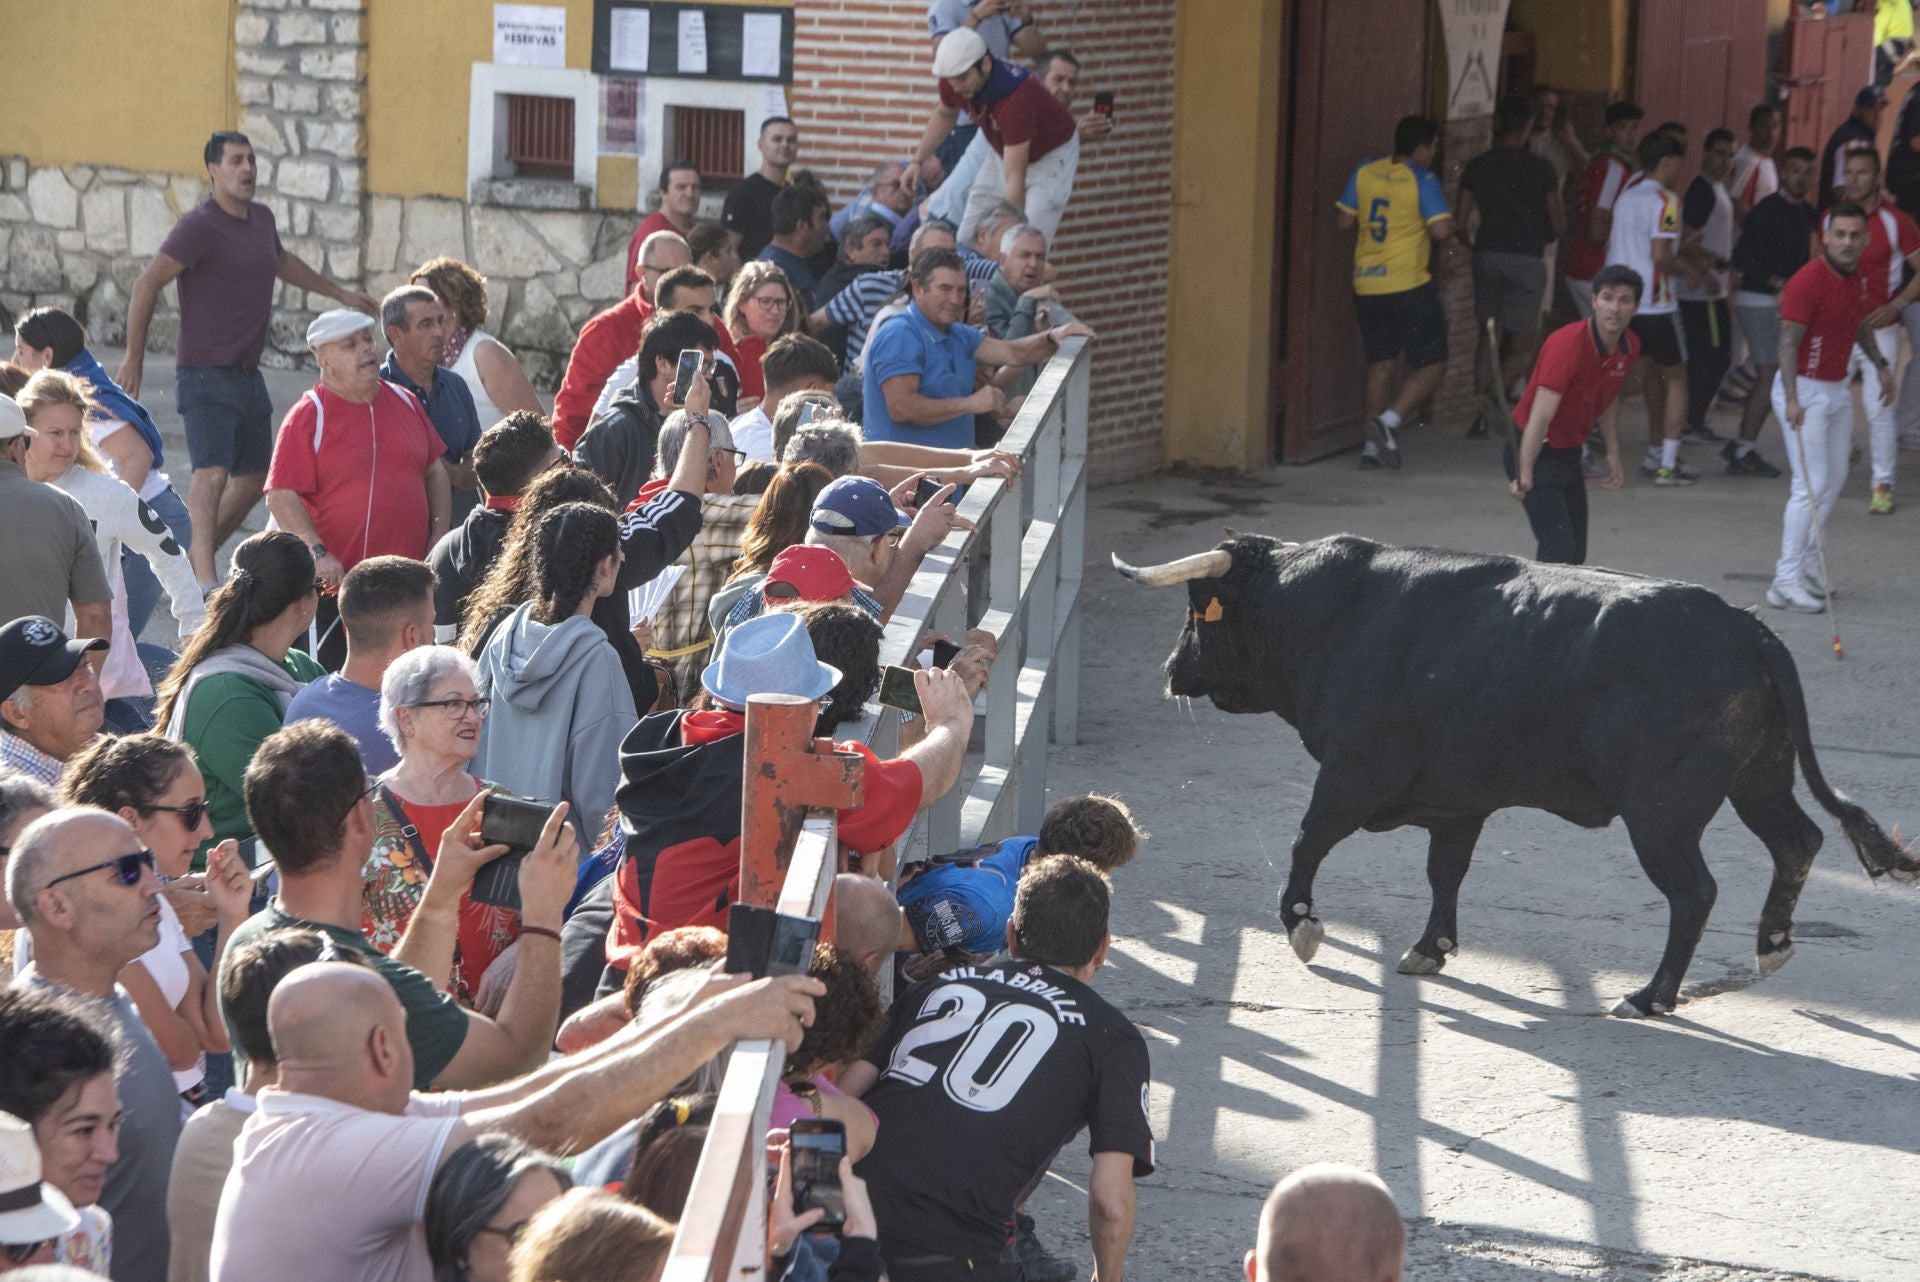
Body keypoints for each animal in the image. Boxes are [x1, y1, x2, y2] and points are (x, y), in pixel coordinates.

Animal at [1121, 537, 1912, 1013]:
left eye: (1197, 612)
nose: (1168, 669)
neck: (1332, 615)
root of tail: (1750, 630)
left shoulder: (1354, 774)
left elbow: (1307, 840)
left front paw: (1302, 925)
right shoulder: (1457, 803)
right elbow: (1445, 872)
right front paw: (1430, 948)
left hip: (1661, 814)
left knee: (1695, 891)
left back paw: (1651, 995)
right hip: (1758, 780)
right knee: (1797, 842)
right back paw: (1771, 946)